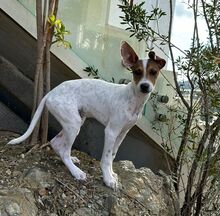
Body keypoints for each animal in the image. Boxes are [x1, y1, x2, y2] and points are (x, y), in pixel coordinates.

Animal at [9, 41, 167, 190]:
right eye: (137, 72)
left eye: (154, 72)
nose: (145, 86)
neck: (133, 98)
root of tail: (51, 92)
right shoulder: (111, 131)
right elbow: (106, 158)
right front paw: (108, 179)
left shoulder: (122, 133)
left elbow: (112, 155)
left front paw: (112, 174)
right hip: (73, 124)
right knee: (64, 150)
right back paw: (76, 172)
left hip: (76, 121)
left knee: (56, 143)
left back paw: (72, 161)